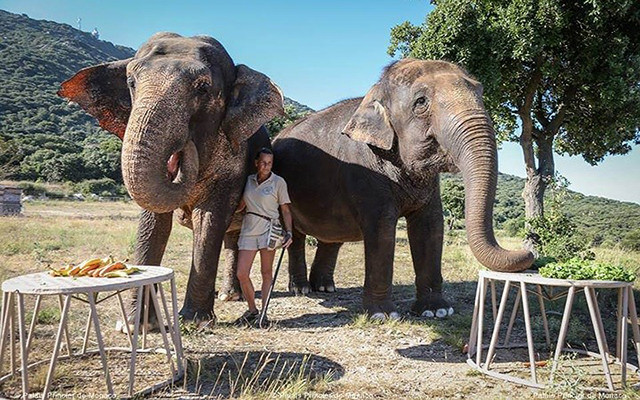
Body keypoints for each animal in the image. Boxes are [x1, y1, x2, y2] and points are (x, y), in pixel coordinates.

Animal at [58, 32, 284, 325]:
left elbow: (208, 219)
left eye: (202, 87)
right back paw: (228, 296)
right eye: (131, 82)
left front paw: (195, 321)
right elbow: (154, 221)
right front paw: (135, 324)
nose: (184, 144)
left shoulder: (234, 158)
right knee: (234, 237)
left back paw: (229, 297)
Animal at [271, 58, 534, 320]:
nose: (529, 253)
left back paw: (325, 288)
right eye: (421, 101)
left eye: (480, 92)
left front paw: (436, 311)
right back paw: (302, 289)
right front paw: (383, 316)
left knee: (332, 235)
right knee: (296, 236)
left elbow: (430, 226)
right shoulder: (365, 171)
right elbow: (381, 228)